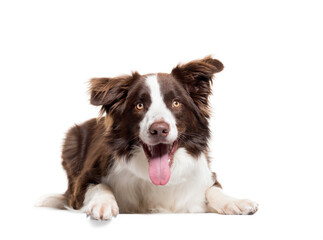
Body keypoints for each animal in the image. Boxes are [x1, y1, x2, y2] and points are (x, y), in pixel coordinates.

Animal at [38, 55, 260, 219]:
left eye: (176, 103)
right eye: (139, 105)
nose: (159, 129)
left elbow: (212, 188)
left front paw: (234, 201)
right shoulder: (82, 184)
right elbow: (99, 185)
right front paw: (103, 204)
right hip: (71, 138)